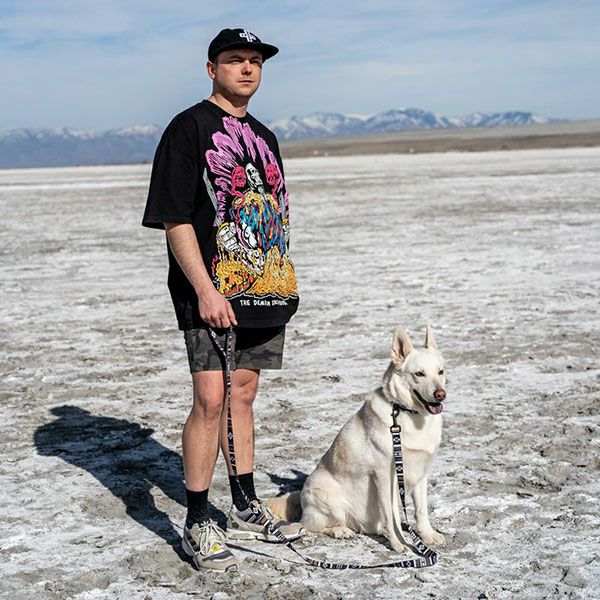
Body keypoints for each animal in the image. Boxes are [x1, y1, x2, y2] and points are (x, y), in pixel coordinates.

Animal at [268, 324, 447, 552]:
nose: (441, 394)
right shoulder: (385, 478)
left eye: (440, 372)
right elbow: (393, 517)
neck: (408, 414)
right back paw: (340, 531)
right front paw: (399, 544)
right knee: (309, 525)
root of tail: (300, 498)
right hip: (329, 499)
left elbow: (421, 510)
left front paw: (428, 535)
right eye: (419, 374)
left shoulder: (421, 473)